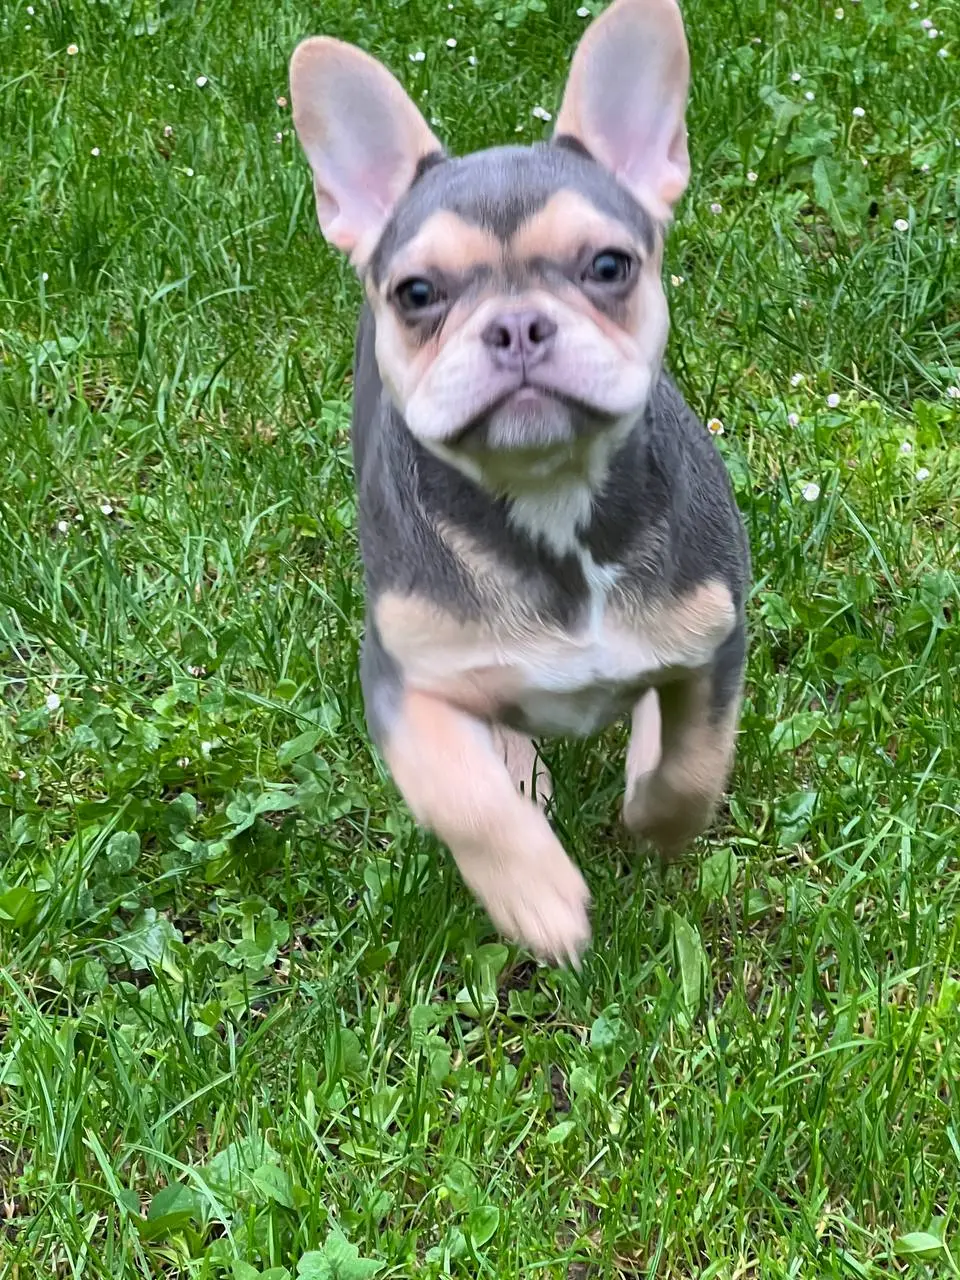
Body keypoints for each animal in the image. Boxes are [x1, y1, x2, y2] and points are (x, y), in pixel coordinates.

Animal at [289, 0, 750, 967]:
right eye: (416, 292)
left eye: (609, 266)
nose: (516, 326)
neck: (549, 500)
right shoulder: (403, 678)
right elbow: (463, 798)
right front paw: (537, 896)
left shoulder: (714, 636)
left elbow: (694, 753)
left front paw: (658, 815)